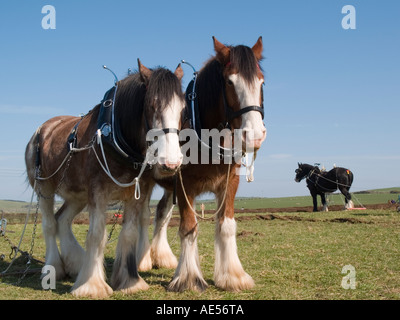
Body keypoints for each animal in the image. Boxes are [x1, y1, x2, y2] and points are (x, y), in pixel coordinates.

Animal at [25, 60, 186, 298]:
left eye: (183, 108)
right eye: (152, 105)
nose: (171, 162)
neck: (116, 136)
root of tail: (42, 129)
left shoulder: (135, 193)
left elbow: (129, 233)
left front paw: (129, 281)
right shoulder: (98, 192)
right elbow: (96, 234)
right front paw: (91, 285)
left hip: (77, 195)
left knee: (62, 219)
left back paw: (76, 263)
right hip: (44, 186)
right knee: (49, 224)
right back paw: (54, 267)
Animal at [138, 37, 266, 292]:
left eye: (261, 81)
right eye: (230, 81)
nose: (255, 136)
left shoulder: (229, 183)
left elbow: (226, 225)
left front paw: (232, 276)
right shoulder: (184, 185)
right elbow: (188, 227)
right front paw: (188, 278)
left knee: (161, 213)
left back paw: (161, 256)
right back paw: (144, 259)